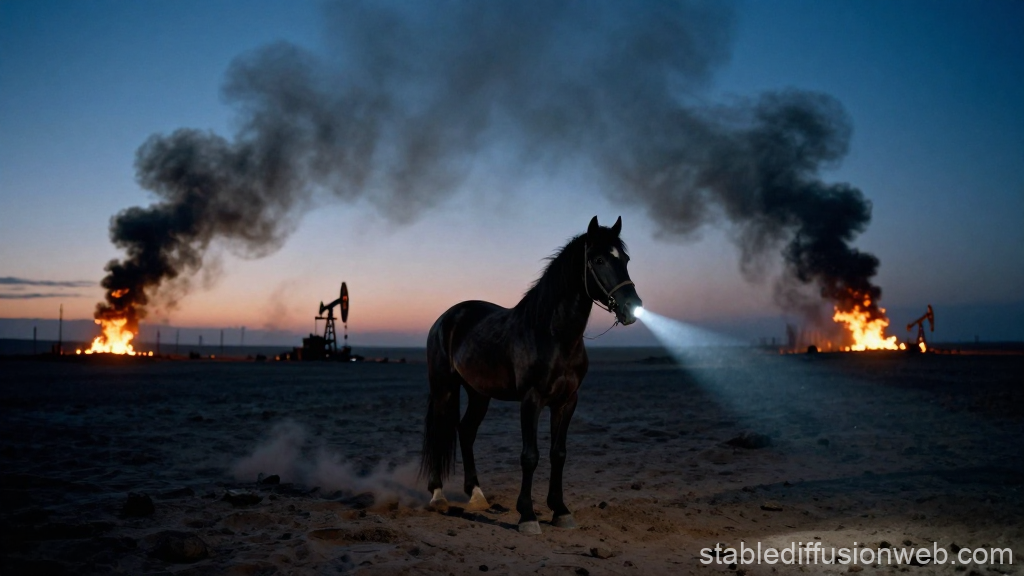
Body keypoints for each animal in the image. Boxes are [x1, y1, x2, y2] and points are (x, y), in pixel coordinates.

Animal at [419, 215, 643, 534]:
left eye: (624, 259)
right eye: (599, 259)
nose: (631, 307)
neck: (553, 335)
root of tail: (445, 318)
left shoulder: (567, 401)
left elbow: (558, 454)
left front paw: (560, 510)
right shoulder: (531, 399)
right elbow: (530, 456)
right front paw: (527, 515)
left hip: (479, 394)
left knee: (466, 431)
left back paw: (477, 495)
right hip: (444, 389)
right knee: (441, 432)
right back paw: (437, 496)